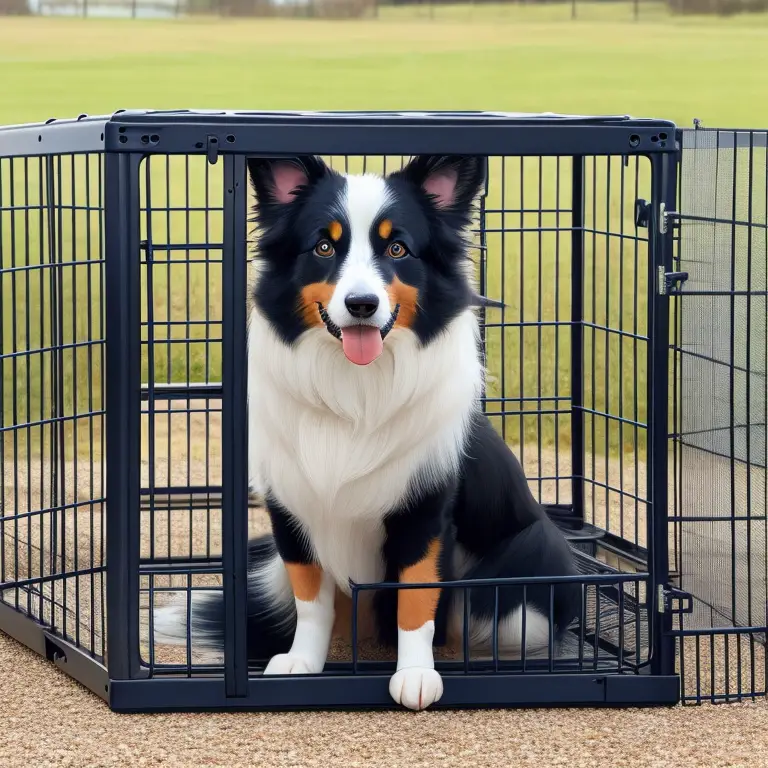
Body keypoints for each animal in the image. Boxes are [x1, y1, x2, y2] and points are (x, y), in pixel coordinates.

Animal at [154, 156, 576, 712]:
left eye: (397, 248)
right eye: (324, 247)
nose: (360, 304)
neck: (354, 388)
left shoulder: (424, 512)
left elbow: (415, 598)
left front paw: (416, 674)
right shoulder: (290, 507)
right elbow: (312, 599)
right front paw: (302, 662)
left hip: (529, 567)